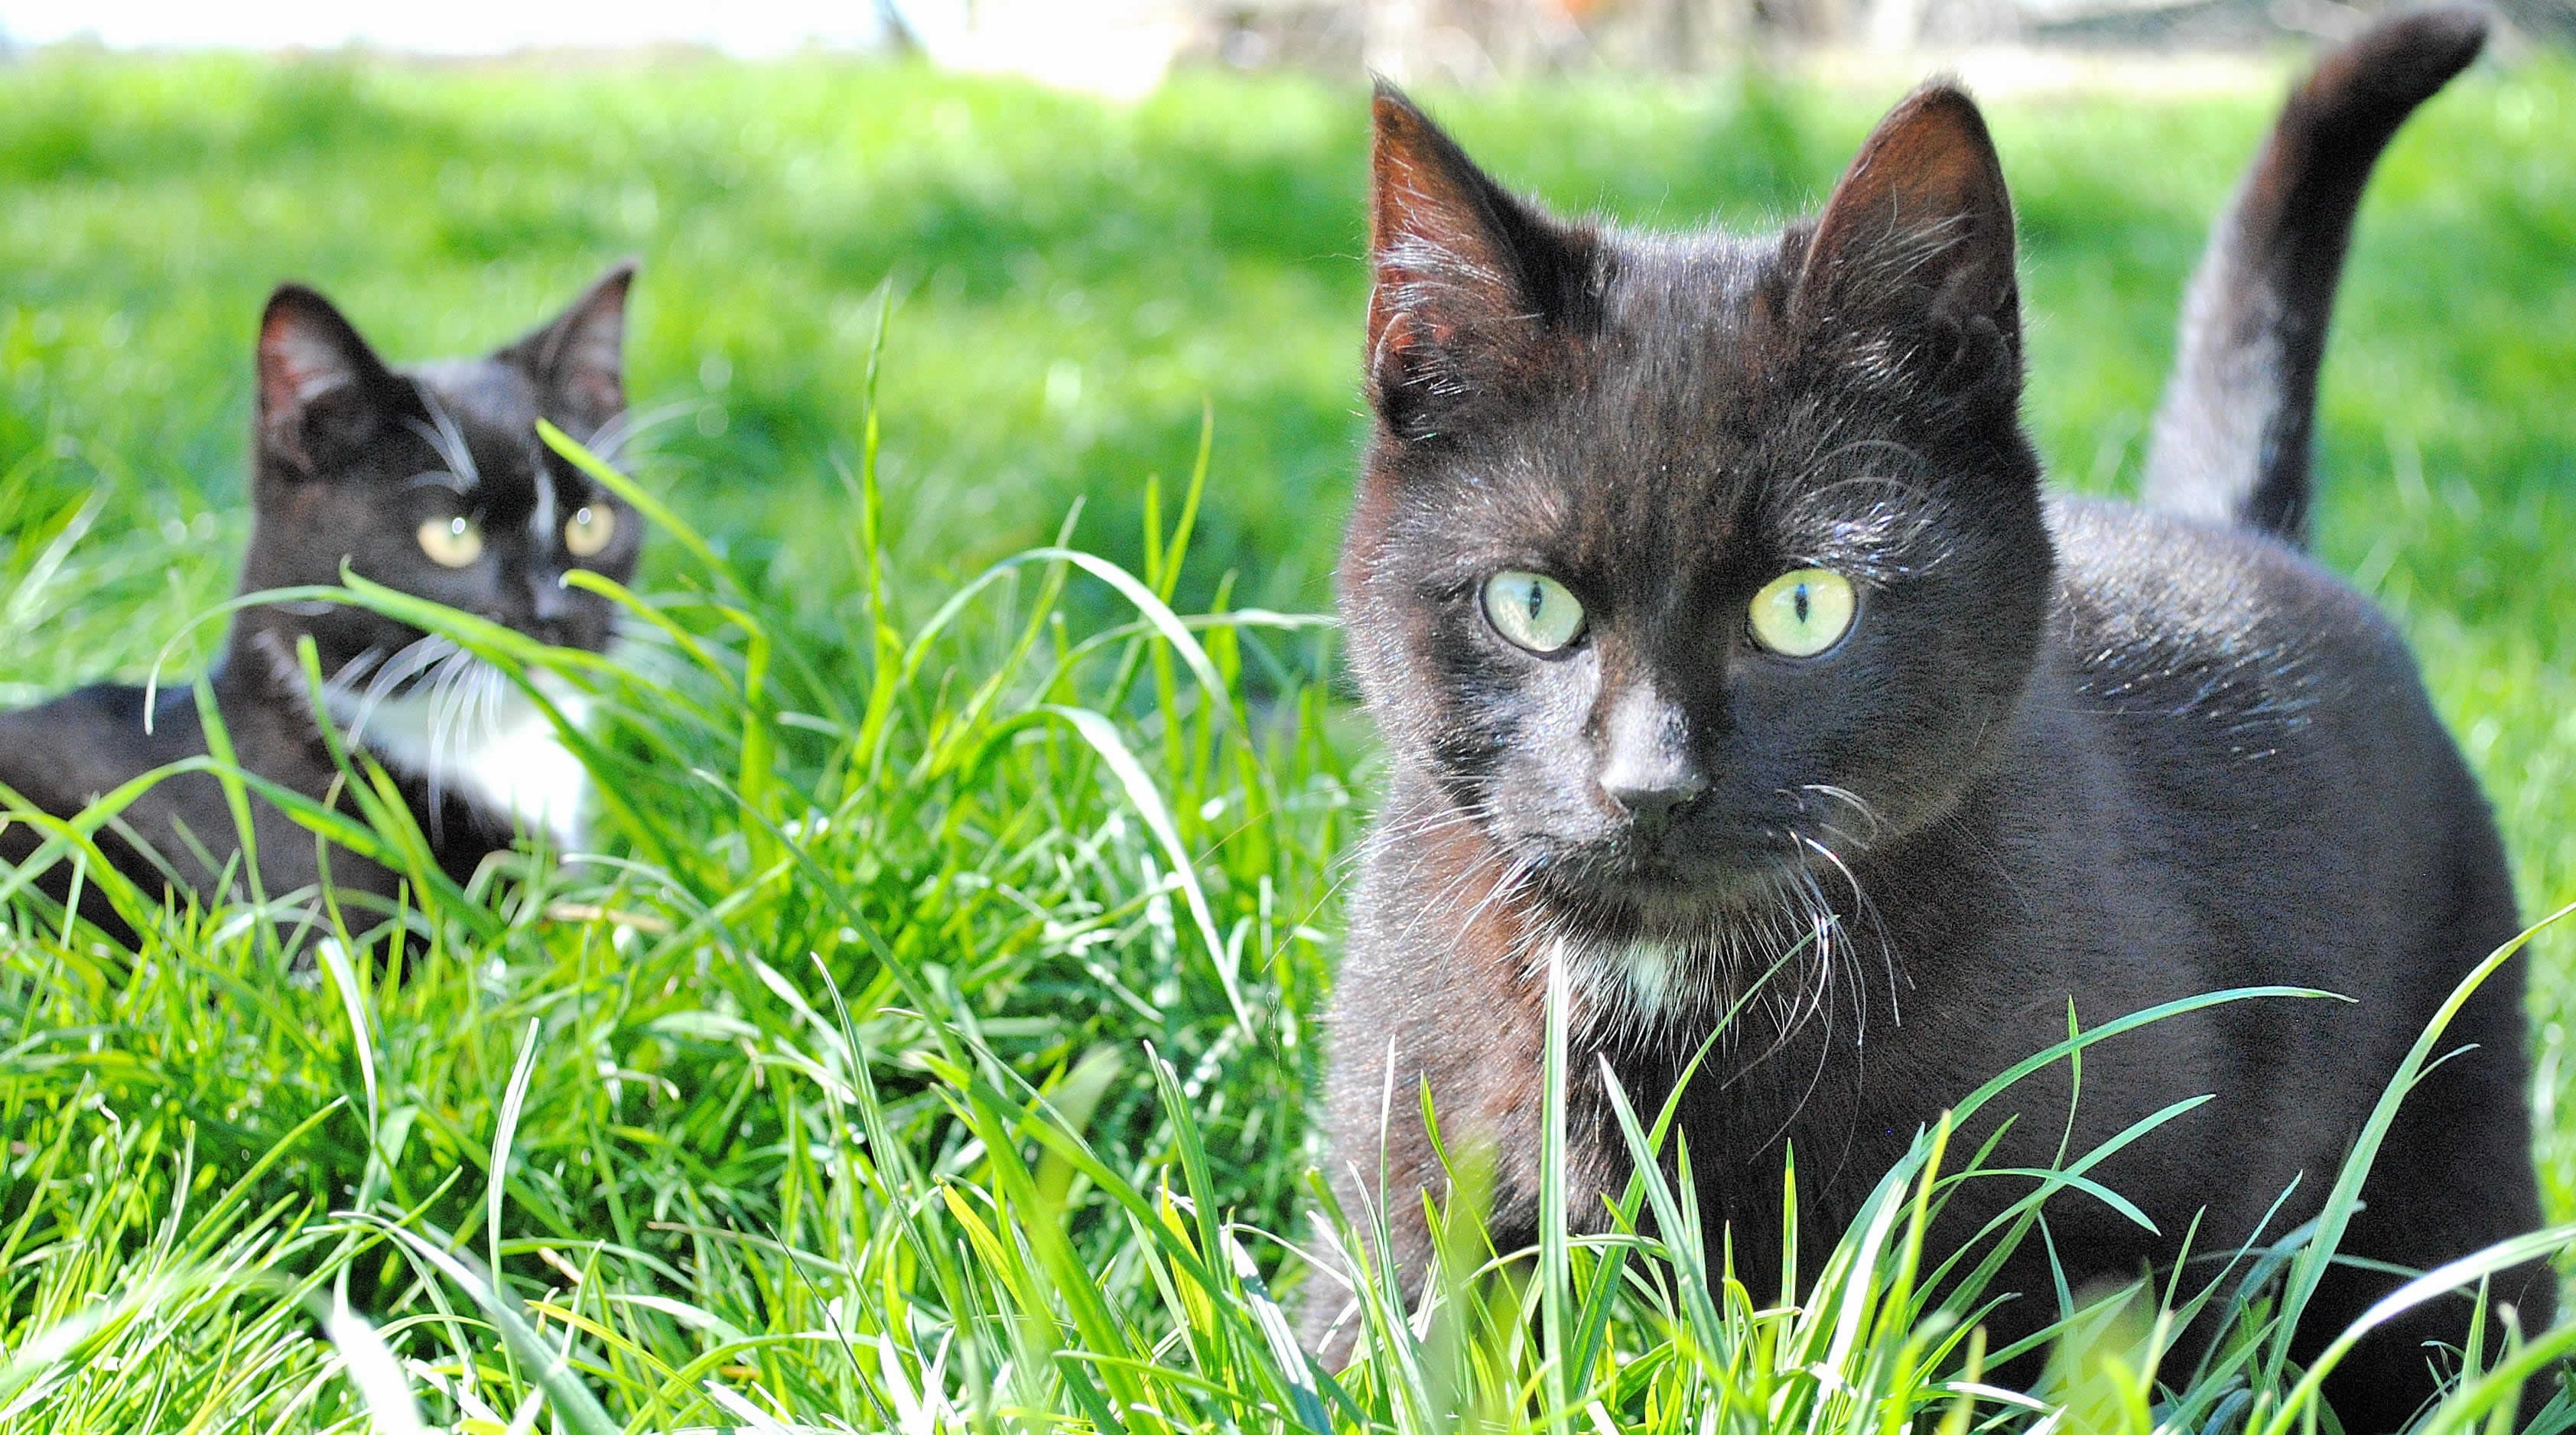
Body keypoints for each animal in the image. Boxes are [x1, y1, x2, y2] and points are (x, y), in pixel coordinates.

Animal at [1319, 11, 2545, 1422]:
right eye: (1530, 604)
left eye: (1804, 607)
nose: (1649, 784)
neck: (1661, 977)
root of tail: (2247, 532)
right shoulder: (1392, 1196)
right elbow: (1363, 1349)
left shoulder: (2087, 1230)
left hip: (2447, 1156)